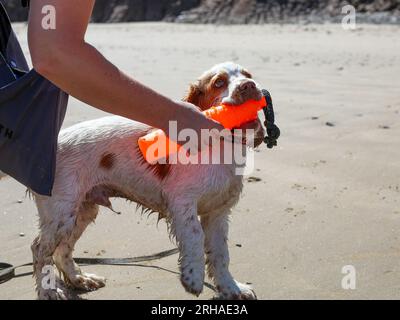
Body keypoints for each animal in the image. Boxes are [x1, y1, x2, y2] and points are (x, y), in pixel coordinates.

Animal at [25, 61, 266, 298]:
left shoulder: (218, 212)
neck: (221, 151)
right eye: (219, 82)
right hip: (61, 212)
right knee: (39, 249)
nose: (249, 86)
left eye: (248, 75)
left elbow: (220, 255)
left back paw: (79, 279)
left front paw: (232, 289)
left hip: (82, 211)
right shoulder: (182, 202)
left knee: (62, 250)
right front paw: (193, 277)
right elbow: (195, 236)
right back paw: (49, 292)